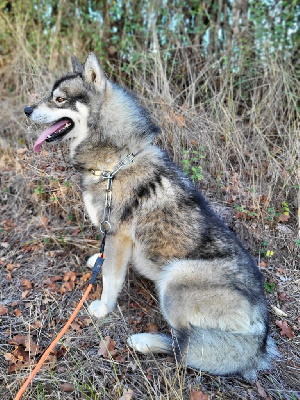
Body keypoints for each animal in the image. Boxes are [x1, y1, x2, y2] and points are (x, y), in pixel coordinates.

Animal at [25, 54, 276, 382]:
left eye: (59, 99)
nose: (27, 110)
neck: (114, 164)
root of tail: (258, 341)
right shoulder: (111, 232)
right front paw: (97, 260)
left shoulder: (118, 236)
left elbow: (111, 279)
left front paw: (103, 308)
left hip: (175, 279)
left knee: (185, 347)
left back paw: (144, 341)